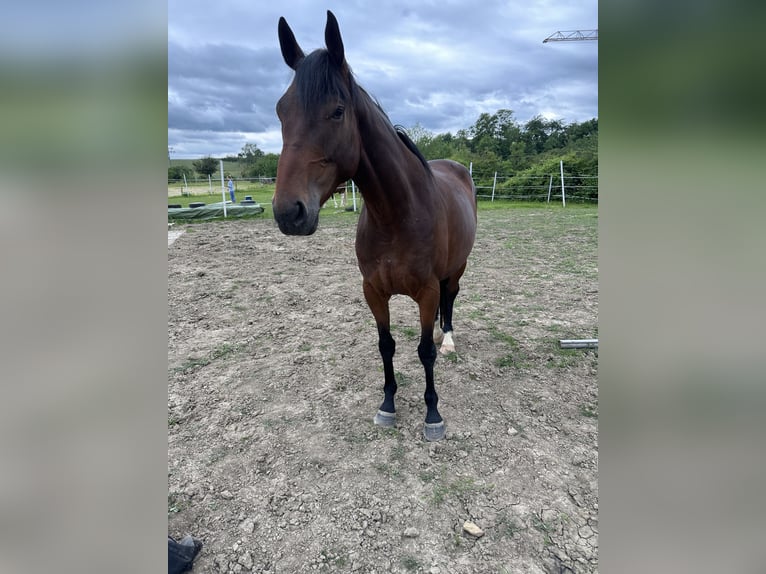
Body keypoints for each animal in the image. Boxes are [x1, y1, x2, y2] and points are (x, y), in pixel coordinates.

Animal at [272, 9, 476, 444]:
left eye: (337, 111)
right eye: (281, 110)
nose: (288, 212)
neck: (396, 216)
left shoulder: (426, 291)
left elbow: (424, 352)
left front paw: (433, 414)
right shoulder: (373, 291)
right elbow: (386, 345)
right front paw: (387, 404)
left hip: (457, 269)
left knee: (450, 300)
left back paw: (448, 339)